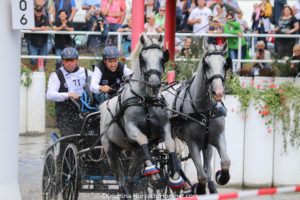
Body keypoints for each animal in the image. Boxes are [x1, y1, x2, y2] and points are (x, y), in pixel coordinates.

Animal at [100, 34, 185, 197]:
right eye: (142, 59)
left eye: (161, 59)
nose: (154, 84)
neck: (145, 101)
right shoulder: (131, 129)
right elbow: (143, 138)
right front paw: (153, 172)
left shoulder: (164, 127)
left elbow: (170, 143)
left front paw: (176, 176)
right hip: (110, 151)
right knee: (121, 180)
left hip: (136, 153)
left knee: (131, 177)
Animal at [162, 41, 232, 195]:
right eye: (206, 64)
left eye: (225, 64)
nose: (218, 93)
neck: (204, 111)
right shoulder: (192, 143)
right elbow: (201, 175)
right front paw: (199, 188)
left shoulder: (218, 136)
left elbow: (225, 162)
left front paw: (222, 177)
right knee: (174, 159)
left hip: (207, 144)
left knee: (207, 165)